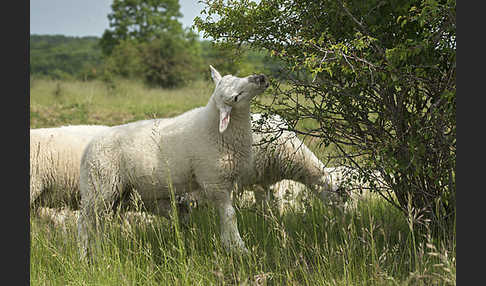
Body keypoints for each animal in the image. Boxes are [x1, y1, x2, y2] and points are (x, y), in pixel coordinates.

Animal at [78, 66, 270, 258]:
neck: (215, 129)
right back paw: (83, 255)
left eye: (235, 77)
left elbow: (226, 216)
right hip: (99, 186)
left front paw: (230, 245)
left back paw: (98, 253)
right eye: (236, 97)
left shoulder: (226, 182)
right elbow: (231, 215)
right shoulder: (214, 181)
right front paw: (240, 248)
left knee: (98, 224)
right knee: (85, 222)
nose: (261, 78)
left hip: (113, 192)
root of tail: (88, 148)